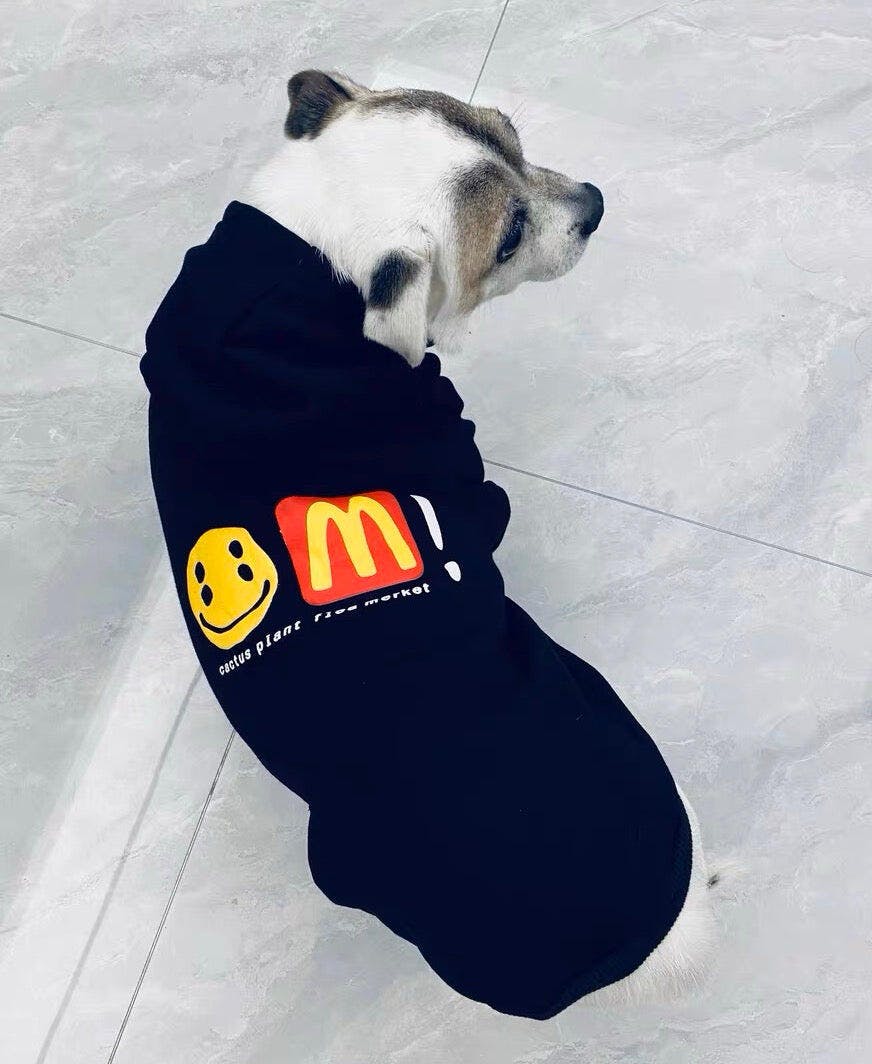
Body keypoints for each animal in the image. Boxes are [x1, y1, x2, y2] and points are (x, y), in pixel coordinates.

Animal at [142, 69, 718, 1019]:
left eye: (511, 131)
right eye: (508, 235)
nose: (596, 204)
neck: (309, 271)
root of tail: (645, 949)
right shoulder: (458, 458)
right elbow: (482, 497)